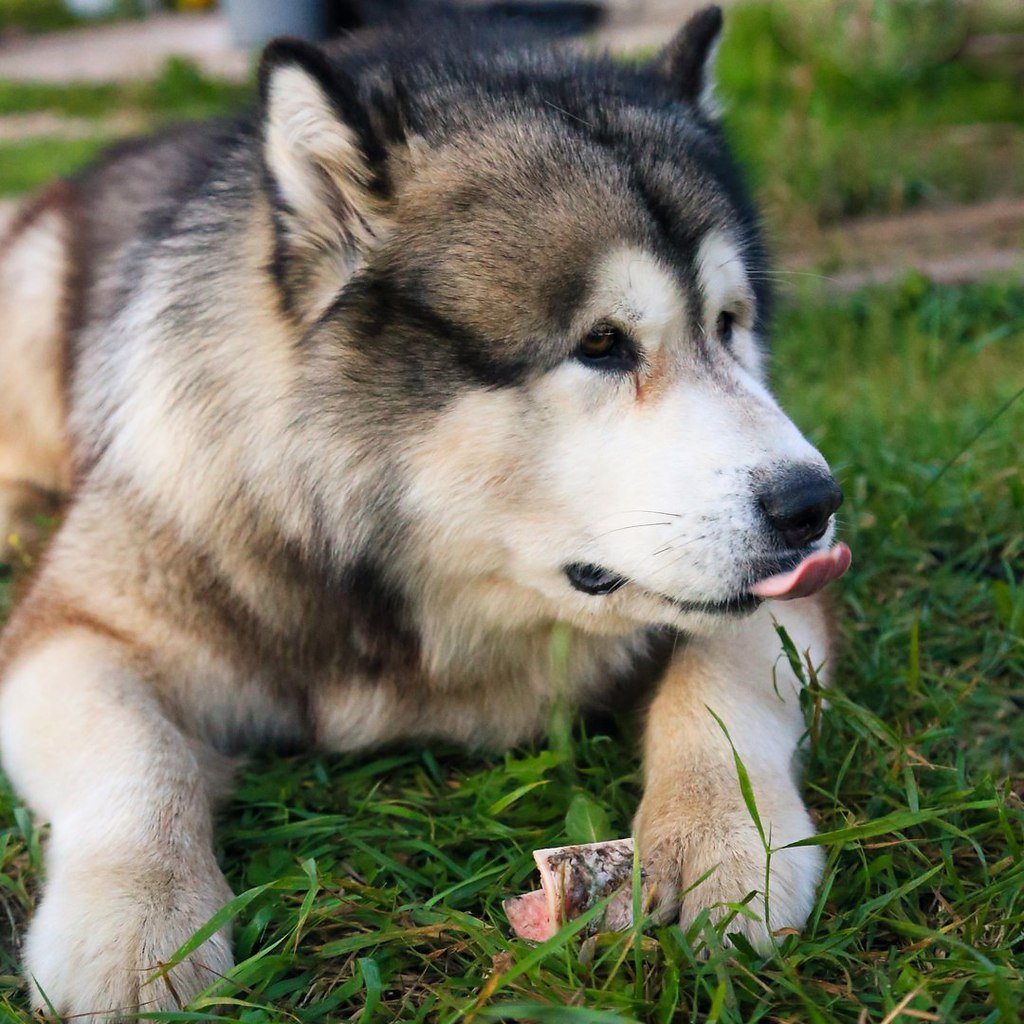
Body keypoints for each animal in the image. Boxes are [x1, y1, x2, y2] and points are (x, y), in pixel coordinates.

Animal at [0, 6, 847, 1015]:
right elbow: (139, 757)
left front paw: (726, 838)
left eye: (729, 324)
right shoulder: (73, 628)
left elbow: (723, 684)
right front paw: (136, 925)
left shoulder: (785, 598)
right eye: (602, 345)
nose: (815, 504)